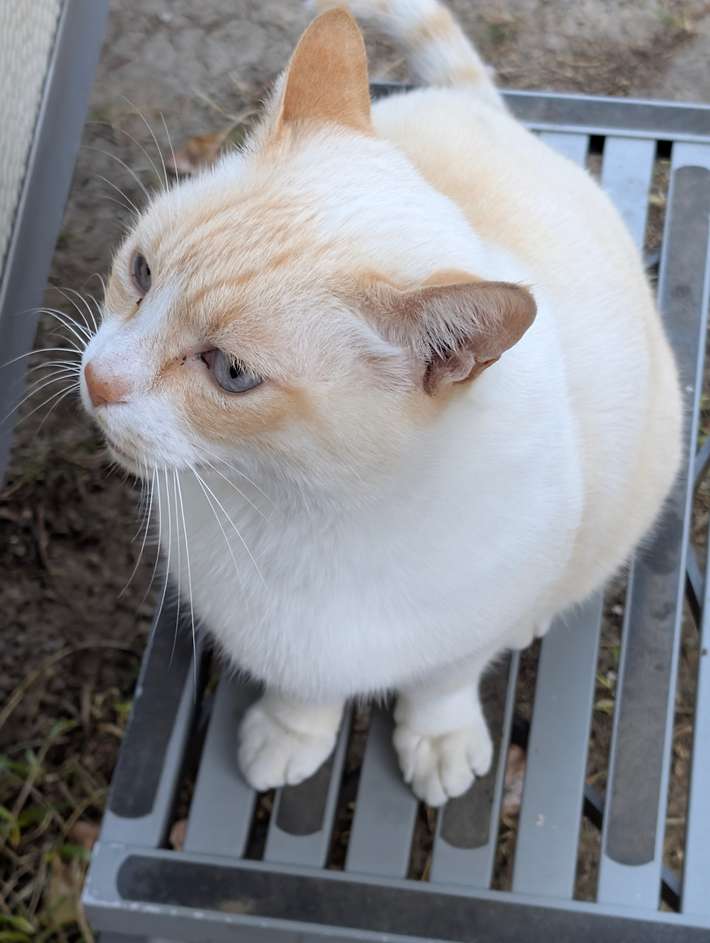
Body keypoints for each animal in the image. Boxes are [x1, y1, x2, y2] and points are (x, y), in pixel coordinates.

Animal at [80, 0, 682, 807]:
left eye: (230, 372)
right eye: (140, 272)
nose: (97, 379)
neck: (307, 511)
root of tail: (487, 115)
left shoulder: (465, 633)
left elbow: (444, 683)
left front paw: (439, 739)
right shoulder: (273, 636)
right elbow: (302, 689)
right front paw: (291, 734)